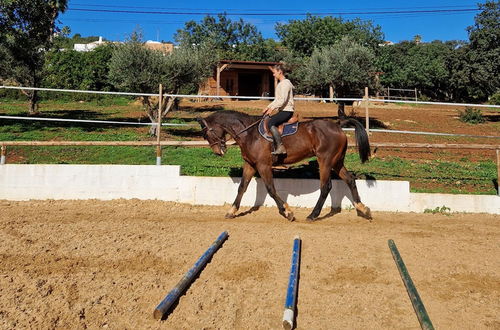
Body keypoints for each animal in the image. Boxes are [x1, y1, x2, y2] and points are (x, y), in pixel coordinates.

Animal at [198, 111, 372, 222]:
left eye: (206, 134)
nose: (218, 152)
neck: (249, 134)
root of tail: (337, 125)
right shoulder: (250, 165)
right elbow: (242, 187)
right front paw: (231, 211)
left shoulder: (263, 165)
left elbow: (271, 190)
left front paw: (288, 212)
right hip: (337, 162)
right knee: (350, 180)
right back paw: (363, 209)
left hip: (325, 161)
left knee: (326, 187)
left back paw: (313, 215)